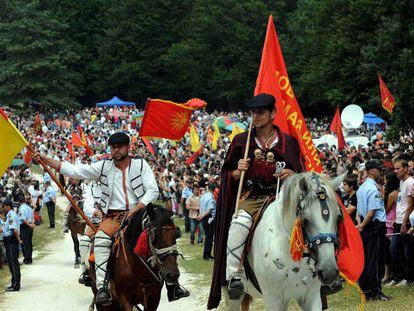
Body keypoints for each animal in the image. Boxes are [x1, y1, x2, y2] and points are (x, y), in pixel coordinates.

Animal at [225, 173, 344, 311]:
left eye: (338, 217)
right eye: (306, 219)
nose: (328, 272)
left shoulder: (312, 297)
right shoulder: (274, 300)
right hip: (232, 296)